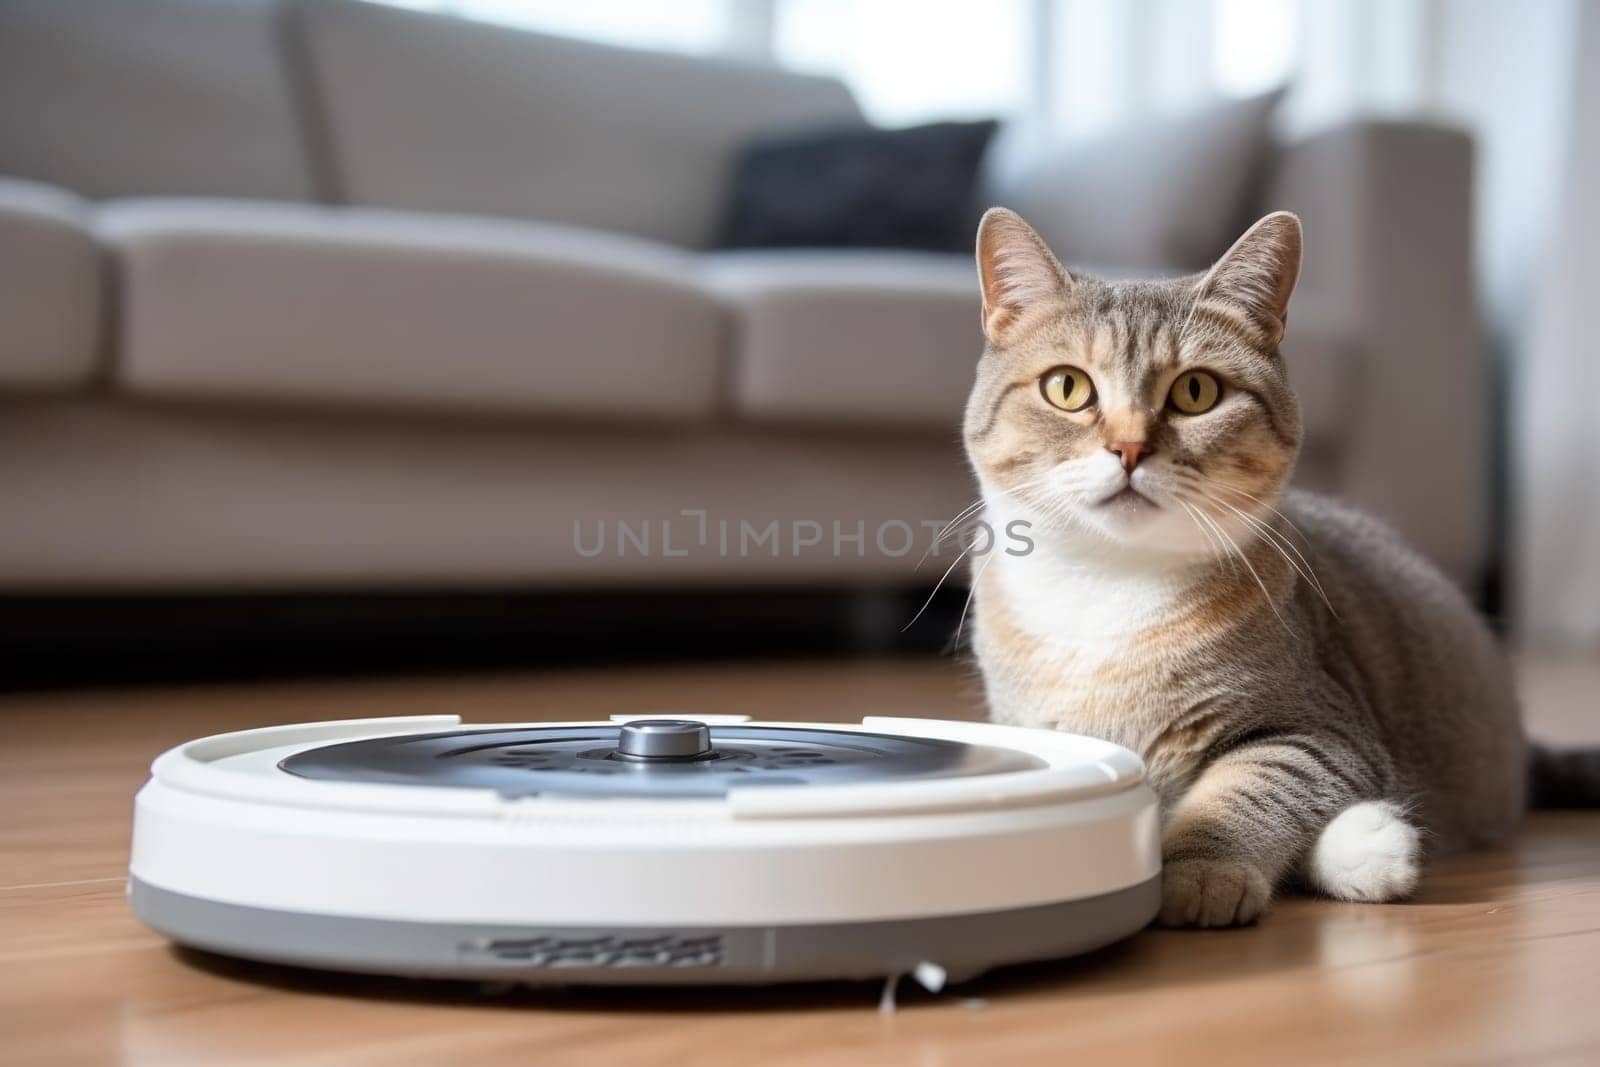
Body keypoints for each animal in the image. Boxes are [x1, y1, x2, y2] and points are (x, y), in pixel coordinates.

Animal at [953, 206, 1529, 927]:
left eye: (1196, 391)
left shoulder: (1320, 729)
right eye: (1067, 386)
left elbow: (1248, 789)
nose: (1129, 447)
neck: (1110, 589)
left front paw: (1201, 871)